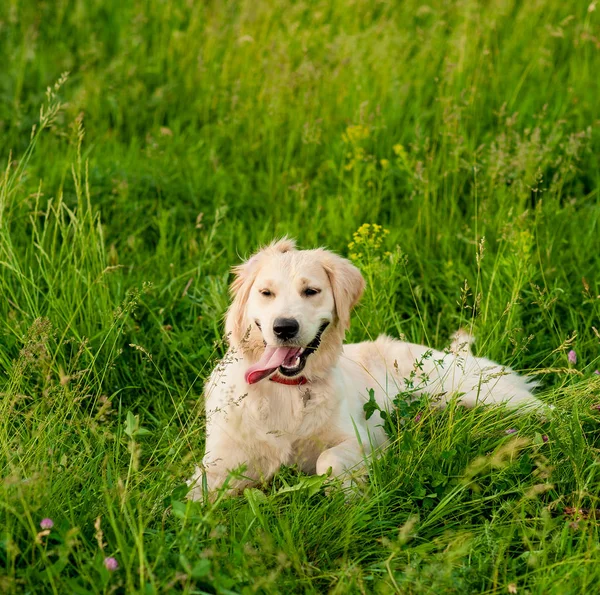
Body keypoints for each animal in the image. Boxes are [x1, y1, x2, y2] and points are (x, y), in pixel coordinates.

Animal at [189, 240, 544, 500]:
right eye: (266, 293)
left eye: (310, 291)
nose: (284, 327)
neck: (286, 389)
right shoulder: (218, 462)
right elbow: (194, 498)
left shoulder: (367, 437)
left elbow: (327, 460)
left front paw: (349, 495)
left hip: (491, 396)